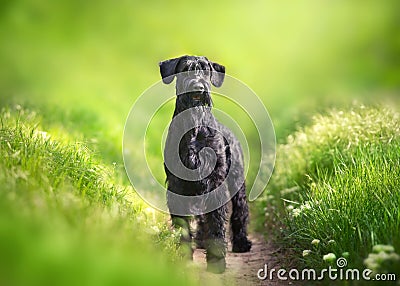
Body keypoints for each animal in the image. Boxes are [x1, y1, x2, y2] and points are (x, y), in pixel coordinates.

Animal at [159, 55, 250, 272]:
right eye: (185, 68)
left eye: (206, 70)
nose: (198, 87)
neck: (194, 126)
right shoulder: (177, 185)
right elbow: (183, 225)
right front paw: (184, 257)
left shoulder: (215, 182)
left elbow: (217, 222)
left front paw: (217, 262)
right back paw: (201, 240)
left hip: (237, 183)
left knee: (240, 212)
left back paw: (241, 242)